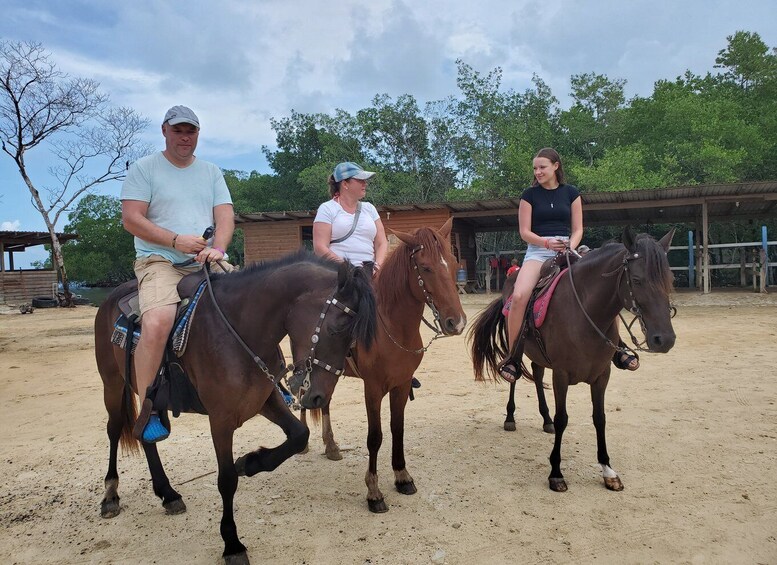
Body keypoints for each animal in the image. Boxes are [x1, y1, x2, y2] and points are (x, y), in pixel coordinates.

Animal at [95, 252, 374, 564]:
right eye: (337, 328)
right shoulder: (221, 419)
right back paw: (110, 495)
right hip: (112, 384)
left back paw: (168, 494)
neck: (241, 329)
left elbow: (299, 435)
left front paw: (250, 462)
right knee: (115, 429)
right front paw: (232, 544)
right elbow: (226, 479)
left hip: (153, 401)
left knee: (147, 435)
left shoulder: (265, 400)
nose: (318, 398)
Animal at [294, 218, 466, 512]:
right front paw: (374, 492)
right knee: (303, 393)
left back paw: (331, 447)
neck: (393, 328)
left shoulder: (402, 385)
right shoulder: (373, 389)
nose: (456, 322)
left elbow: (398, 429)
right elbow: (375, 437)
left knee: (323, 400)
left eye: (454, 264)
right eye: (426, 267)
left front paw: (402, 477)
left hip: (326, 371)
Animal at [466, 227, 672, 492]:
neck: (583, 312)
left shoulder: (602, 375)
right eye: (636, 280)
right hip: (519, 347)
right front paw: (556, 473)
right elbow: (562, 418)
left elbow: (600, 418)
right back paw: (510, 417)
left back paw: (545, 420)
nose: (665, 339)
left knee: (537, 374)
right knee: (515, 375)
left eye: (670, 280)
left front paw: (608, 471)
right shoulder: (561, 375)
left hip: (539, 355)